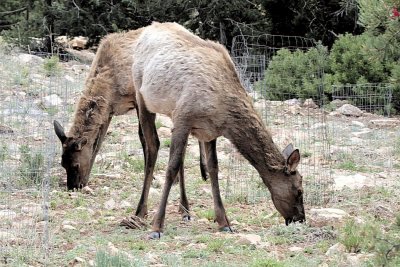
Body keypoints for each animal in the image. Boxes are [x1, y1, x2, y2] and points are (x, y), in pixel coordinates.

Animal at [52, 28, 206, 223]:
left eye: (75, 165)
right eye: (62, 163)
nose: (73, 187)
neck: (110, 86)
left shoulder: (138, 100)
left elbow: (144, 140)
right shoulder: (109, 112)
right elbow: (98, 144)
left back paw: (201, 175)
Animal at [131, 21, 306, 239]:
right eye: (299, 190)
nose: (301, 219)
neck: (224, 113)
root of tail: (148, 28)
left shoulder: (208, 131)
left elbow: (213, 169)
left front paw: (224, 222)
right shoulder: (183, 117)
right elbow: (170, 168)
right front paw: (157, 227)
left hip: (171, 113)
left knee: (178, 157)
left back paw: (185, 210)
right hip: (141, 96)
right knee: (152, 147)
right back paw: (140, 212)